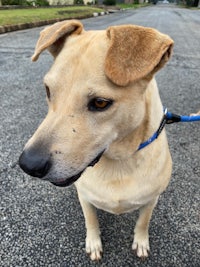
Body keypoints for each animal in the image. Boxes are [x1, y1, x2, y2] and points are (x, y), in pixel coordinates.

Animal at [19, 20, 174, 262]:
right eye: (48, 90)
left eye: (100, 103)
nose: (29, 165)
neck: (119, 161)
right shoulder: (85, 196)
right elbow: (90, 220)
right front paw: (93, 243)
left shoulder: (151, 200)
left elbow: (143, 221)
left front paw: (141, 241)